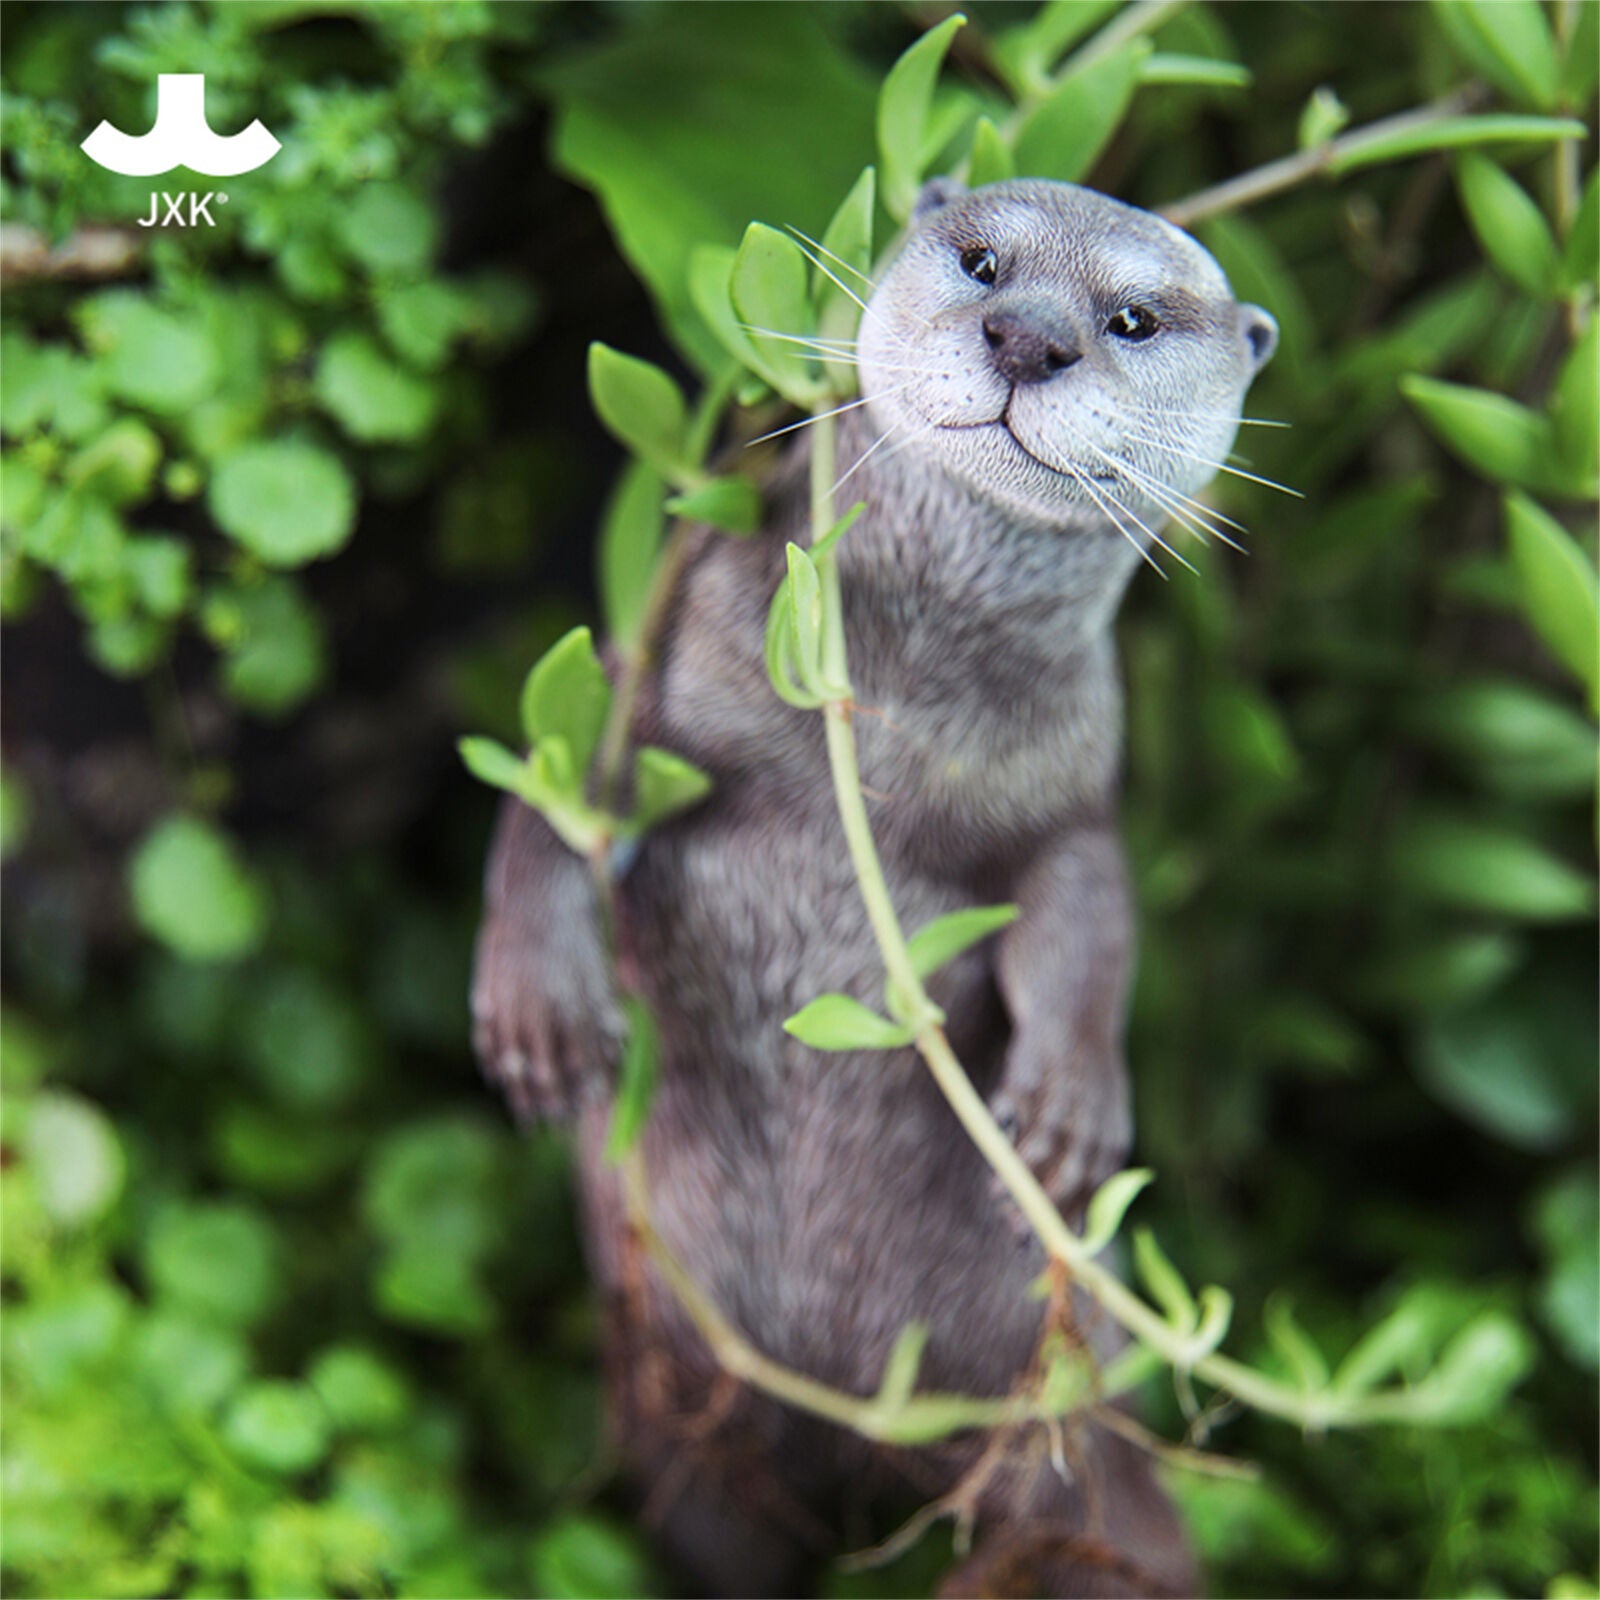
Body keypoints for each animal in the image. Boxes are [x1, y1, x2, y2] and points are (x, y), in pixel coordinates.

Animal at [473, 178, 1278, 1598]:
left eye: (1131, 316)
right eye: (982, 261)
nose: (1028, 337)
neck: (896, 717)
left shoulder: (1072, 791)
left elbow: (1090, 916)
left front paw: (1066, 1116)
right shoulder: (655, 679)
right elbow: (552, 796)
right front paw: (538, 1017)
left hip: (1080, 1458)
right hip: (683, 1425)